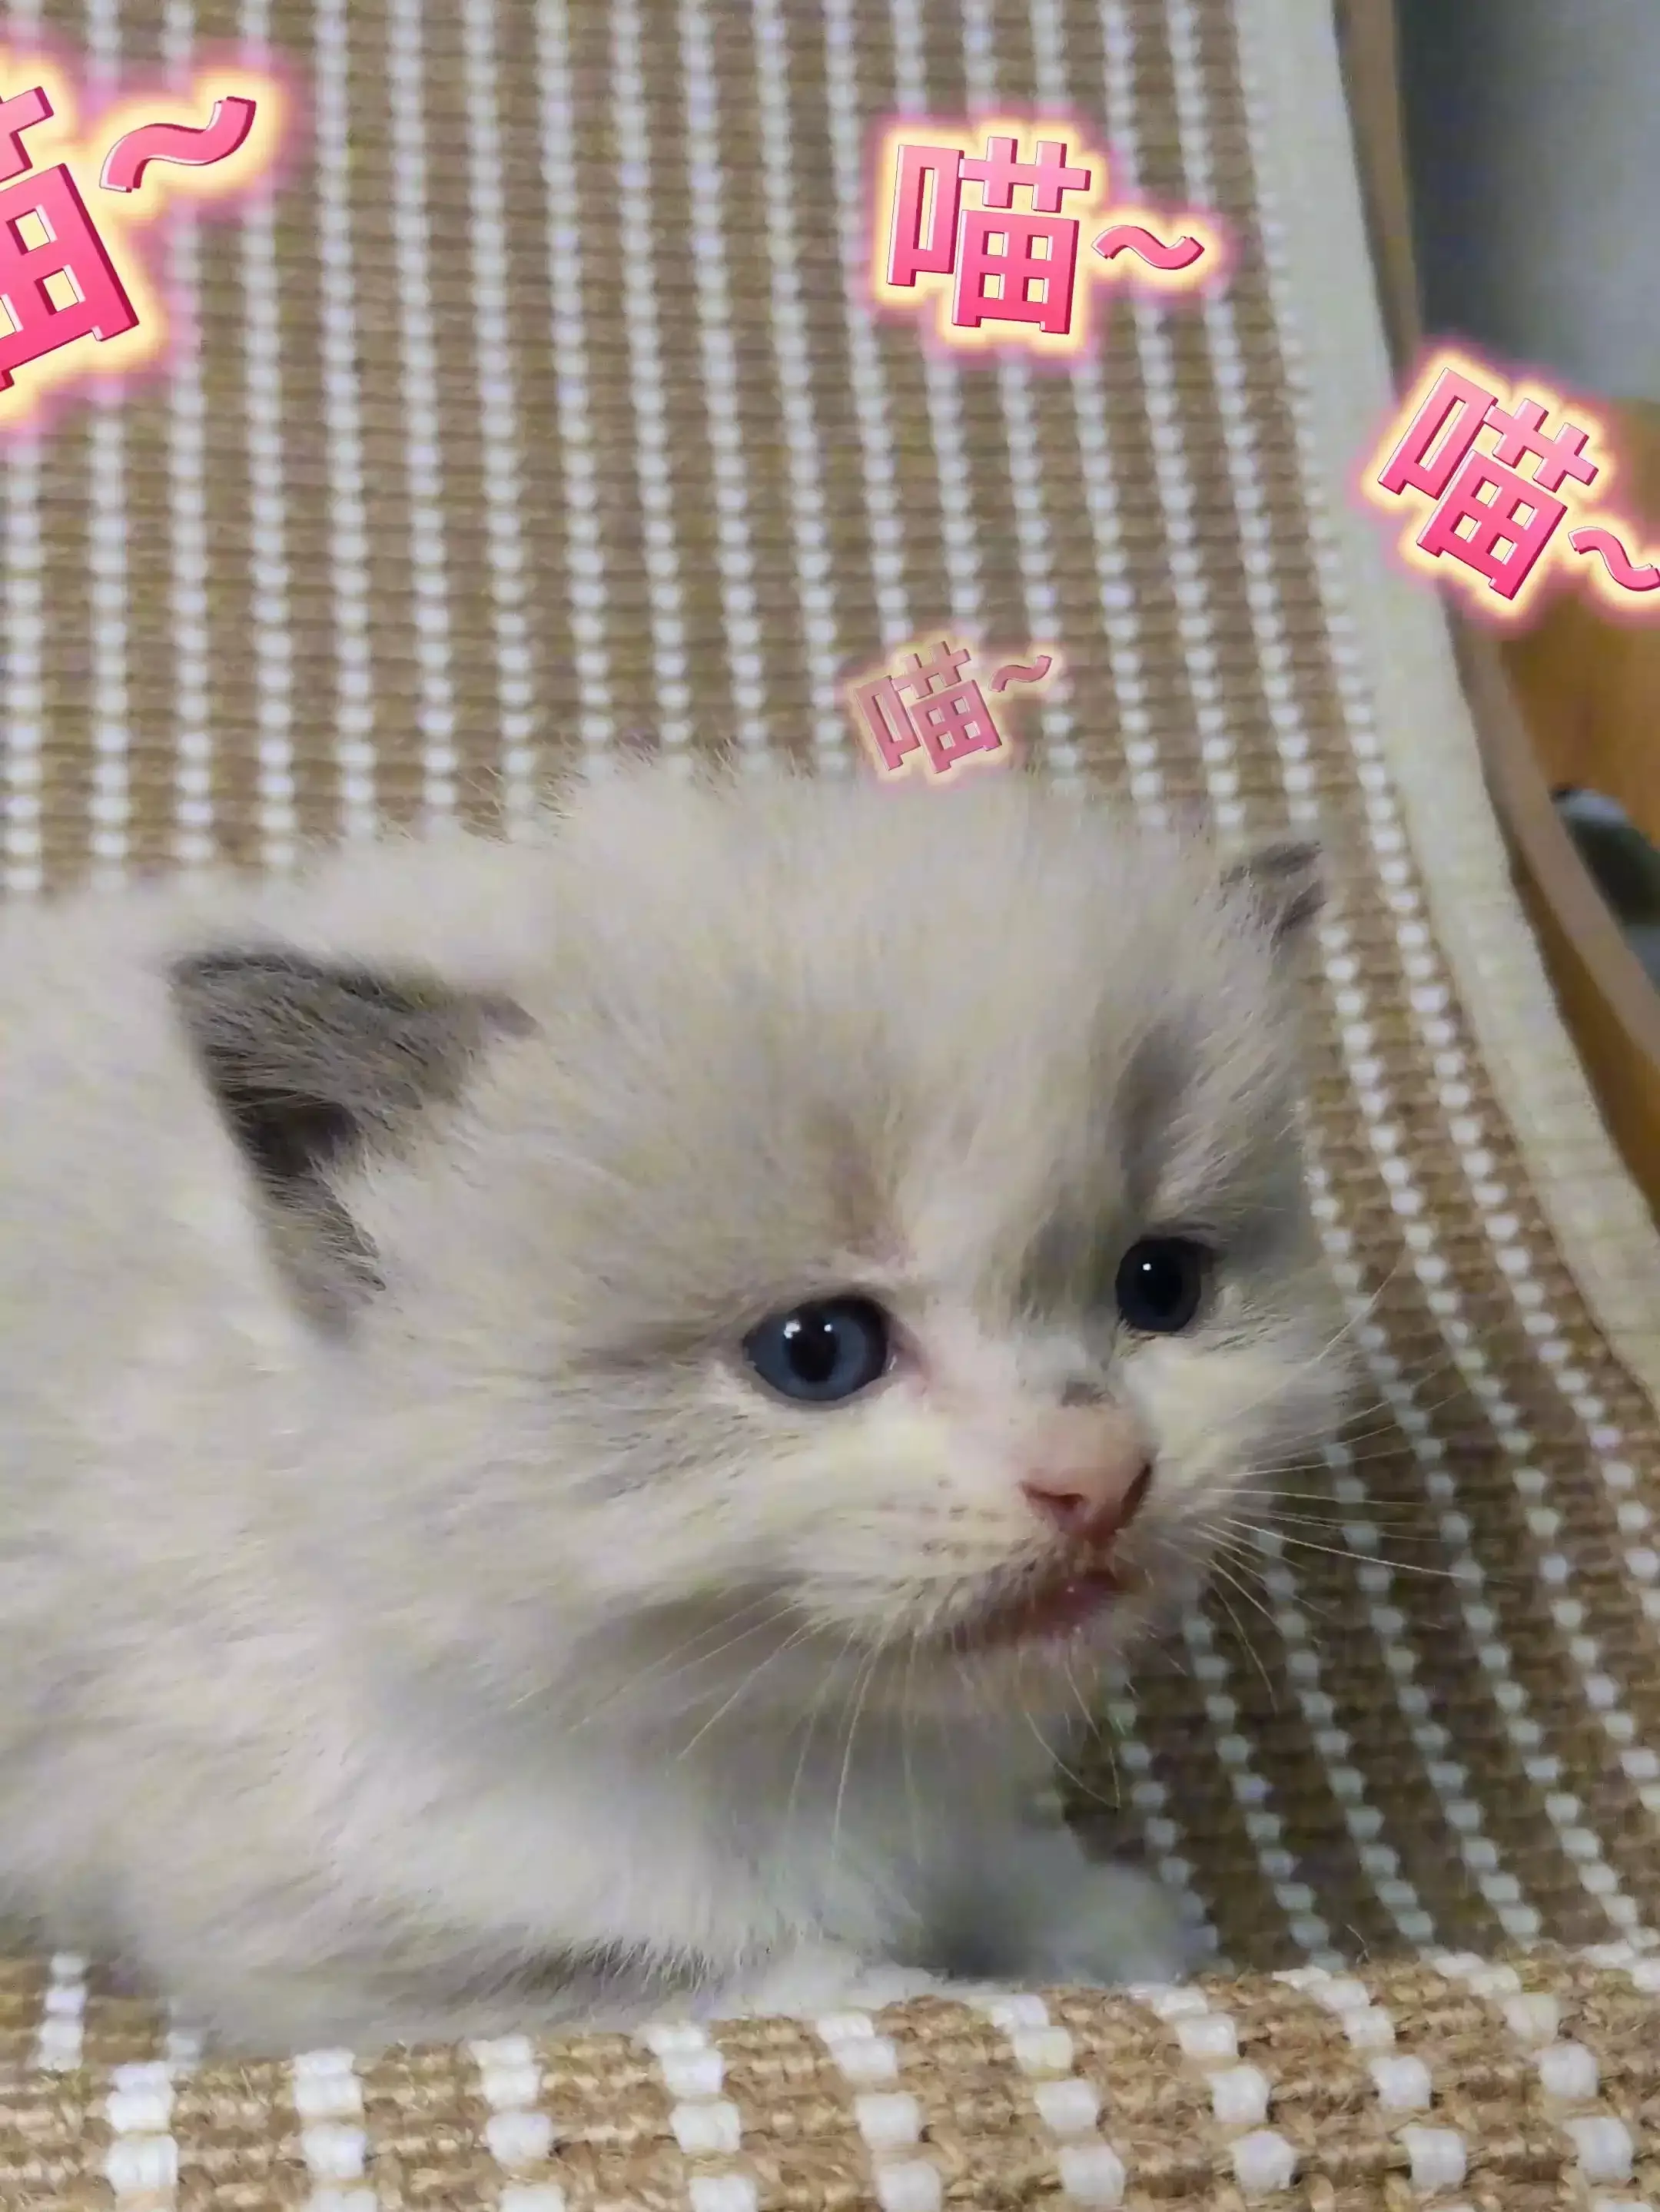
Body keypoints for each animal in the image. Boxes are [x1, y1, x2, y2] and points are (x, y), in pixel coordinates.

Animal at [0, 759, 1353, 2054]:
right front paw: (994, 1986)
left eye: (1159, 1285)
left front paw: (1086, 1916)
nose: (1102, 1470)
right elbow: (804, 1982)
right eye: (818, 1352)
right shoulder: (342, 1932)